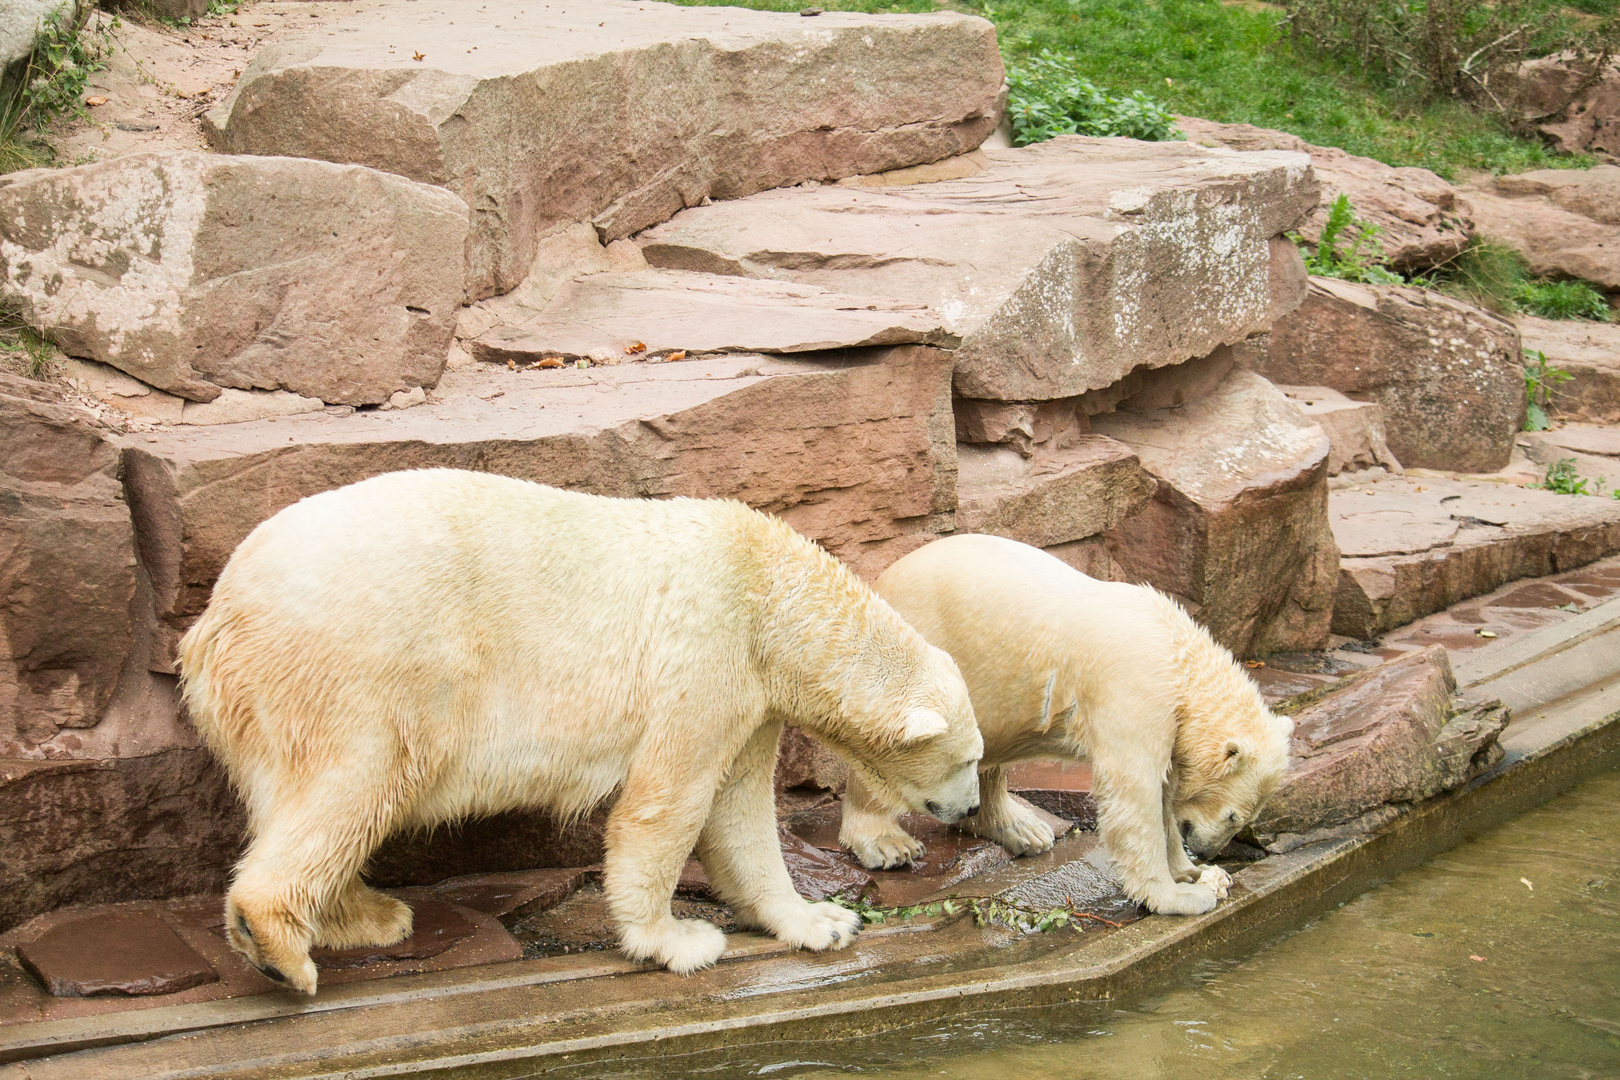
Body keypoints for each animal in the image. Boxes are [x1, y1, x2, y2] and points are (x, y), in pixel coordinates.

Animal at [182, 472, 978, 997]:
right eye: (969, 758)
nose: (971, 808)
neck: (768, 591)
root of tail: (215, 618)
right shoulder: (707, 653)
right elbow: (668, 805)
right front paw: (678, 940)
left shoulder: (751, 699)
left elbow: (740, 813)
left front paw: (823, 922)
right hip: (364, 668)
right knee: (357, 784)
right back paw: (284, 948)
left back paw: (365, 915)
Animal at [848, 537, 1289, 919]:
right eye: (1233, 816)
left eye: (1247, 817)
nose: (1211, 852)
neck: (1180, 658)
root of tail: (880, 582)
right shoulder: (1137, 693)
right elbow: (1135, 794)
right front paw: (1181, 896)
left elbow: (1165, 793)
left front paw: (1193, 872)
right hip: (917, 651)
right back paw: (887, 843)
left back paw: (1022, 829)